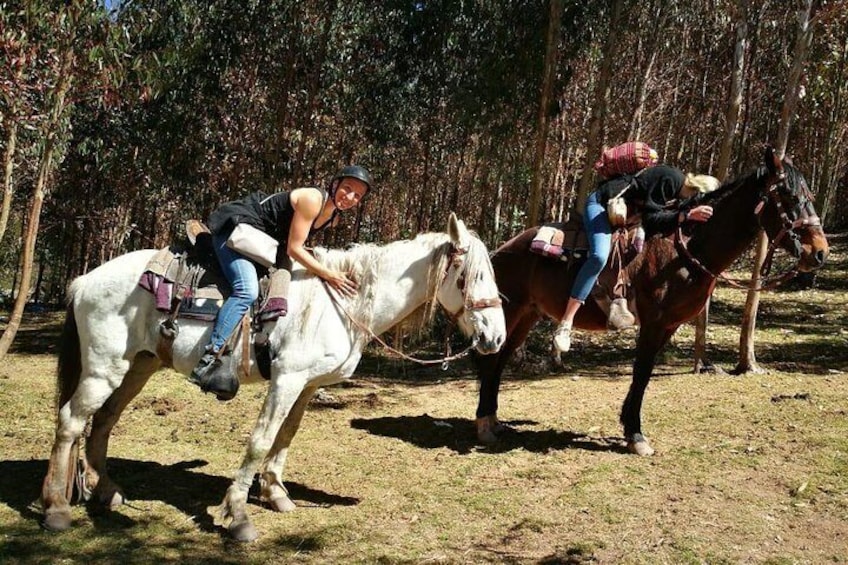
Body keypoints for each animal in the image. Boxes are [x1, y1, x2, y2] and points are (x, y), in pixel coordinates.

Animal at [41, 214, 504, 540]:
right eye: (468, 277)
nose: (495, 337)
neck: (342, 302)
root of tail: (84, 280)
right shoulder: (286, 380)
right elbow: (261, 440)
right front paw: (238, 515)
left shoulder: (307, 385)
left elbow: (285, 437)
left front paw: (275, 494)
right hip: (103, 368)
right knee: (70, 421)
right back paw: (56, 508)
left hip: (138, 365)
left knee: (102, 422)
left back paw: (105, 492)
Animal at [476, 148, 828, 456]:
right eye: (790, 197)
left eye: (808, 197)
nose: (820, 252)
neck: (685, 250)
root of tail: (501, 249)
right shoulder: (654, 322)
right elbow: (642, 374)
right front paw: (636, 435)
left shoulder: (669, 326)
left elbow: (643, 375)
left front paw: (629, 429)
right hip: (511, 310)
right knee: (492, 361)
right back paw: (485, 425)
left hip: (528, 315)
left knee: (501, 359)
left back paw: (493, 420)